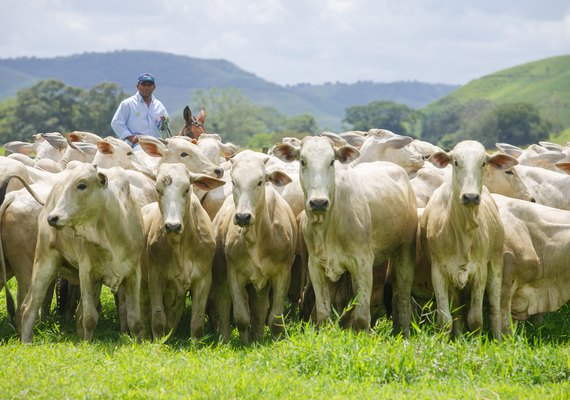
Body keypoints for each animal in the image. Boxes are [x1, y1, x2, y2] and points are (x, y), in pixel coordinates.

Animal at [19, 164, 144, 342]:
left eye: (82, 185)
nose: (53, 218)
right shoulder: (87, 272)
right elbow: (90, 317)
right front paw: (87, 344)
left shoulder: (134, 273)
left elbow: (135, 319)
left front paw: (138, 343)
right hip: (45, 261)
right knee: (30, 306)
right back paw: (26, 341)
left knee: (77, 313)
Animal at [210, 150, 298, 344]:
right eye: (234, 181)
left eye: (260, 181)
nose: (243, 216)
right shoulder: (234, 274)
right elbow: (242, 317)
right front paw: (245, 344)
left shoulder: (283, 273)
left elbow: (274, 319)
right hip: (221, 275)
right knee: (223, 304)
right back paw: (225, 339)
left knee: (260, 309)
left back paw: (257, 337)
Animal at [272, 136, 414, 336]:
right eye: (302, 161)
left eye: (332, 161)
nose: (318, 202)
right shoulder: (316, 266)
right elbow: (323, 313)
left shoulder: (362, 264)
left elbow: (362, 316)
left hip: (404, 252)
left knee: (402, 297)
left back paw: (403, 333)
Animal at [418, 141, 516, 340]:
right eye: (455, 162)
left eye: (484, 163)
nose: (470, 197)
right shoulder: (438, 271)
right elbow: (445, 319)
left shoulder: (480, 271)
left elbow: (476, 319)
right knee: (457, 309)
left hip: (496, 263)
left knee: (494, 307)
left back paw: (497, 339)